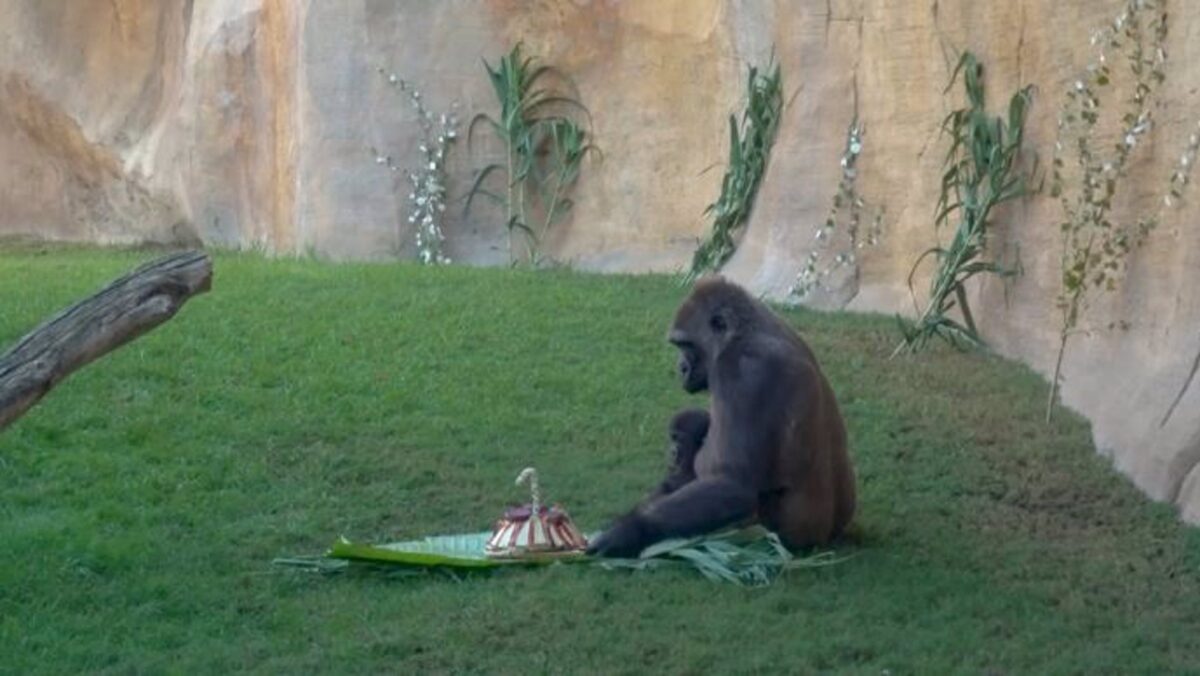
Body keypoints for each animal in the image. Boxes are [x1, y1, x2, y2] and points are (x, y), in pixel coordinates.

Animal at [588, 277, 854, 557]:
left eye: (686, 344)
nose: (680, 368)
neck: (745, 333)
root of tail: (825, 540)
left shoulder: (744, 371)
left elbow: (733, 484)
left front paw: (630, 530)